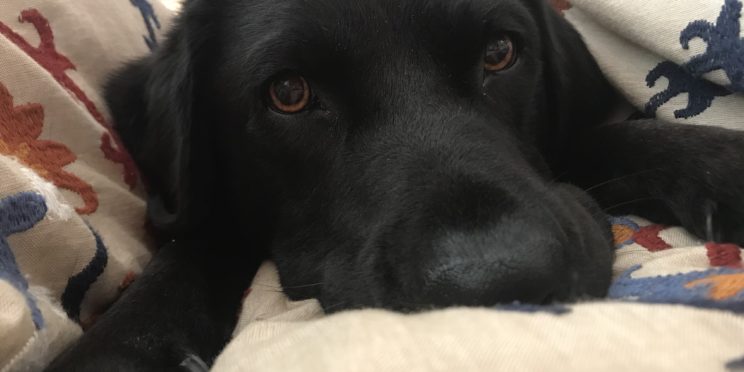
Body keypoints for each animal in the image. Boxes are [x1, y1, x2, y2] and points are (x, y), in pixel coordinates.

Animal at [49, 0, 744, 370]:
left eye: (500, 52)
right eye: (288, 92)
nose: (499, 280)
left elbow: (603, 142)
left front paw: (721, 166)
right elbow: (193, 243)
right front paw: (127, 343)